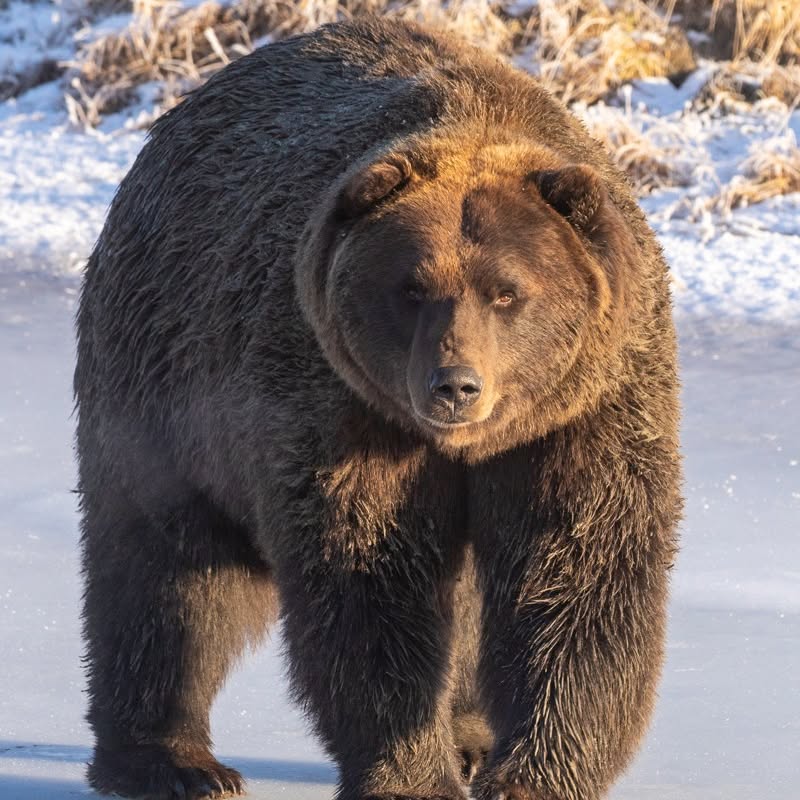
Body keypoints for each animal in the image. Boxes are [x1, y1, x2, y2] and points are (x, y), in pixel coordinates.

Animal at [75, 17, 680, 800]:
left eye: (506, 290)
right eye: (412, 287)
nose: (455, 385)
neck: (467, 444)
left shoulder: (582, 414)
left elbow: (578, 575)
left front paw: (528, 774)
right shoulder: (346, 412)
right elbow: (371, 587)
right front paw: (412, 774)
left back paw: (470, 738)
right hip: (163, 375)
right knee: (165, 571)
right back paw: (173, 763)